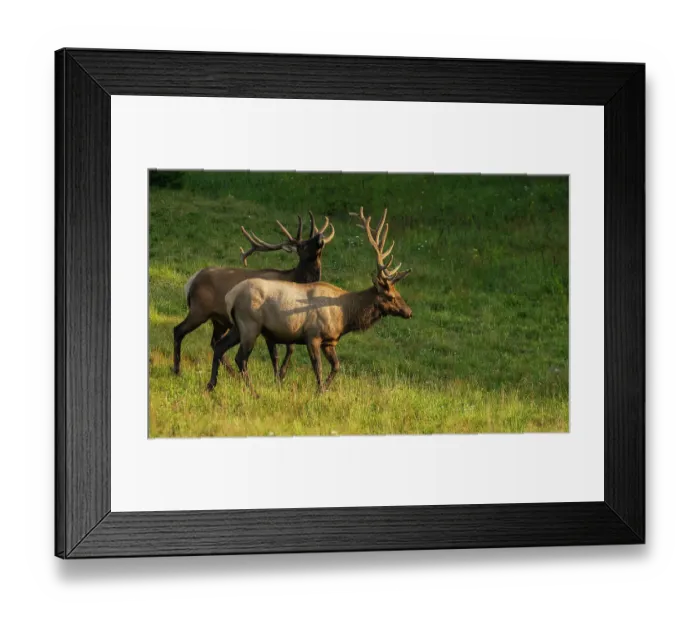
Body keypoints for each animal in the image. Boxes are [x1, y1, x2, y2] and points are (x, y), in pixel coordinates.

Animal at [173, 212, 335, 381]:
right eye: (302, 245)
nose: (320, 237)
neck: (293, 279)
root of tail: (191, 281)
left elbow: (289, 349)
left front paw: (281, 375)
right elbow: (276, 354)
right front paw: (278, 377)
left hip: (219, 320)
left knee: (214, 342)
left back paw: (232, 374)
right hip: (199, 310)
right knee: (178, 330)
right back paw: (177, 370)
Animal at [206, 207, 412, 396]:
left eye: (398, 293)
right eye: (391, 296)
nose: (409, 312)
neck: (344, 315)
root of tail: (231, 296)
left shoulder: (330, 341)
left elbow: (336, 366)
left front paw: (323, 390)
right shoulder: (312, 335)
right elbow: (317, 367)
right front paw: (318, 392)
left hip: (238, 326)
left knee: (220, 347)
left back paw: (211, 386)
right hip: (250, 325)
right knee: (240, 358)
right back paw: (253, 392)